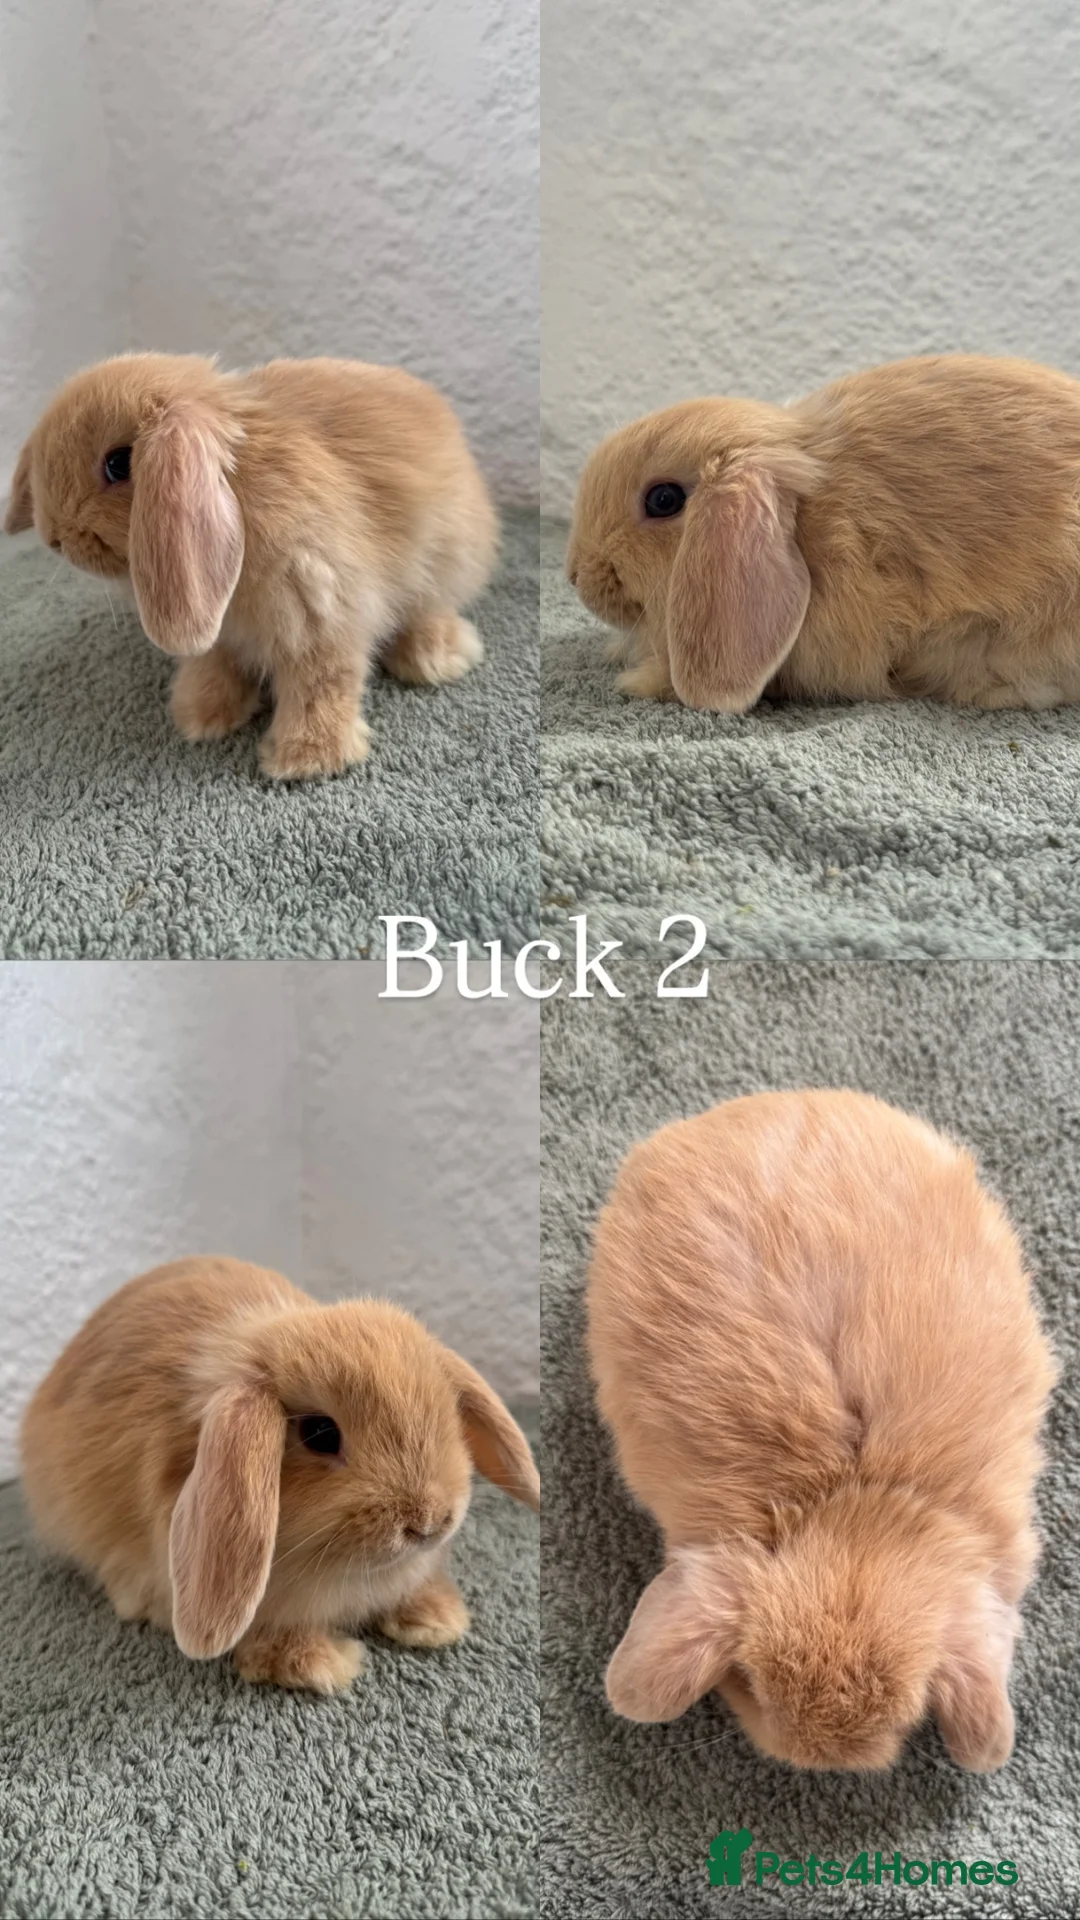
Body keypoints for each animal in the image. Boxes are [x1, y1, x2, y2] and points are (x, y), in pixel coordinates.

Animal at [3, 352, 499, 779]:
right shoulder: (222, 632)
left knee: (430, 608)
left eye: (119, 464)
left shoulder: (319, 616)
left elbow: (321, 684)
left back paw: (434, 658)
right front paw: (201, 717)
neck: (241, 488)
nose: (54, 537)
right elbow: (216, 666)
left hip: (446, 560)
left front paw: (307, 759)